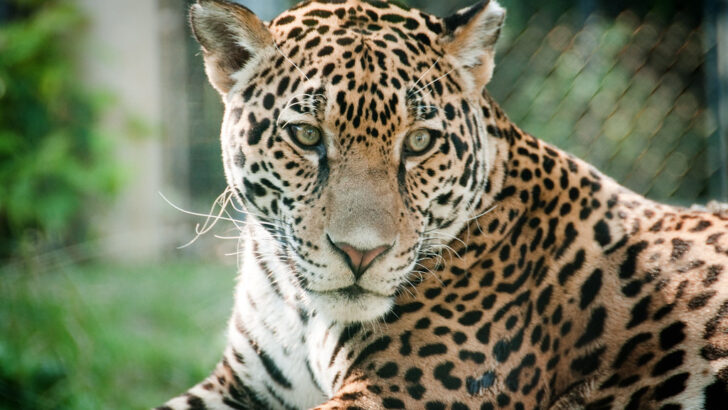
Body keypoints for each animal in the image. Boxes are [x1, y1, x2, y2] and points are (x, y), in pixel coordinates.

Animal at [157, 0, 728, 408]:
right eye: (305, 135)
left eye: (418, 142)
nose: (360, 254)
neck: (301, 308)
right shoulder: (239, 385)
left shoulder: (409, 394)